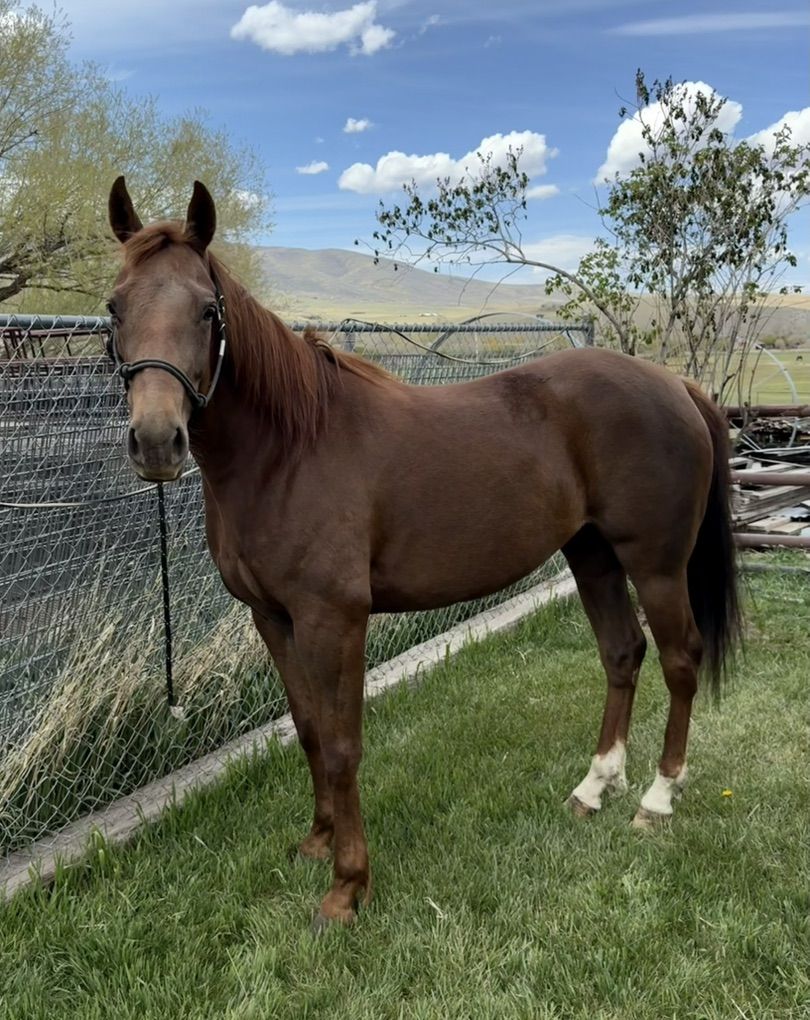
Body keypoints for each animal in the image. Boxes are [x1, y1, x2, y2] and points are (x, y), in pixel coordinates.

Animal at [107, 177, 740, 928]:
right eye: (114, 307)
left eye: (207, 310)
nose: (155, 441)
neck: (289, 448)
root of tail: (675, 385)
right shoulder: (274, 618)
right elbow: (309, 730)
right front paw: (318, 842)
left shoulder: (334, 620)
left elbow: (343, 744)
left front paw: (348, 886)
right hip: (593, 556)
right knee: (622, 653)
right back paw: (594, 787)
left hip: (657, 564)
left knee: (679, 660)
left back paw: (657, 799)